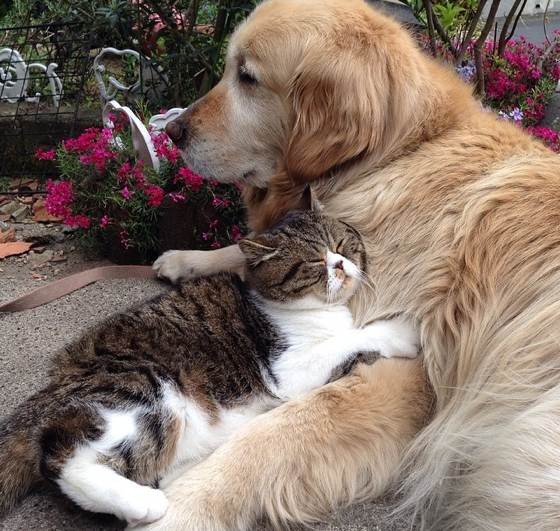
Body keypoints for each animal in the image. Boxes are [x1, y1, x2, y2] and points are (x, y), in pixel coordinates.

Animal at [0, 210, 418, 524]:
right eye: (315, 261)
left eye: (342, 245)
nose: (342, 264)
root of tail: (56, 383)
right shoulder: (288, 367)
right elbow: (352, 337)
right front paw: (402, 331)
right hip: (143, 390)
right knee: (62, 457)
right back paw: (144, 504)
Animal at [147, 2, 560, 528]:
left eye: (247, 77)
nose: (172, 130)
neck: (391, 156)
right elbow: (248, 249)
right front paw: (186, 260)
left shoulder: (406, 371)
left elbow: (274, 434)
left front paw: (179, 506)